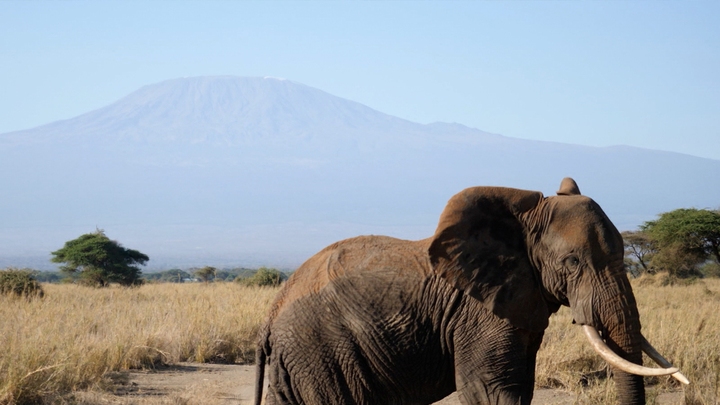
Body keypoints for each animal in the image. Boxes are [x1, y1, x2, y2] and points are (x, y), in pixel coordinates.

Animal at [254, 178, 686, 405]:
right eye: (573, 262)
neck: (520, 221)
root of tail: (271, 317)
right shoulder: (478, 313)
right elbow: (491, 390)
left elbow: (519, 388)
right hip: (320, 350)